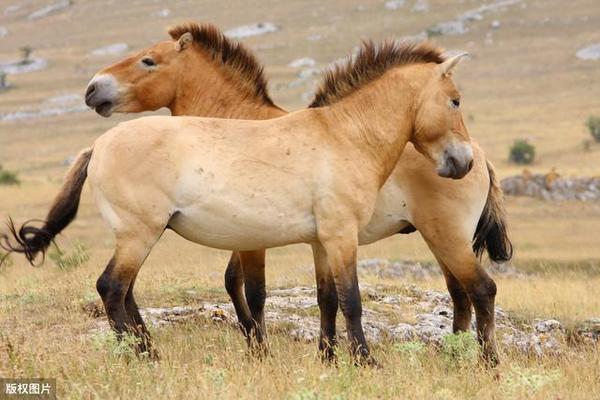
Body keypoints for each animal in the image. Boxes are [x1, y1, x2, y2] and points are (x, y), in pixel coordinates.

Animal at [1, 26, 488, 366]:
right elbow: (345, 299)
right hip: (138, 235)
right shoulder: (336, 237)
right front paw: (364, 362)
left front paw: (329, 360)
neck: (343, 135)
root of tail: (99, 144)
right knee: (112, 288)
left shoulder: (320, 241)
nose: (460, 162)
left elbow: (324, 299)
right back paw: (142, 356)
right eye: (456, 100)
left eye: (148, 61)